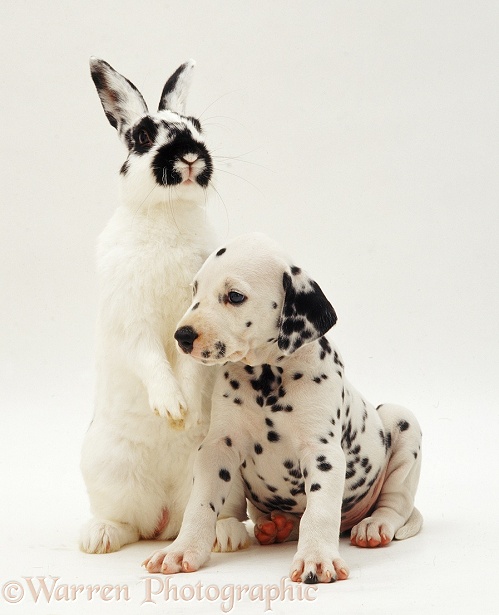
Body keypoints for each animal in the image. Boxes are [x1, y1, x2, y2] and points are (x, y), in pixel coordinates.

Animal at [80, 60, 250, 556]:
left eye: (197, 126)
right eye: (142, 136)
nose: (191, 154)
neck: (168, 216)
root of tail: (165, 519)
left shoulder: (198, 325)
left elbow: (189, 364)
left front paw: (187, 411)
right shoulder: (129, 321)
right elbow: (149, 358)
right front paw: (172, 409)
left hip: (228, 476)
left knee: (207, 515)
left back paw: (226, 535)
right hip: (105, 470)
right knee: (129, 523)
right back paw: (98, 537)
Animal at [144, 231, 422, 584]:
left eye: (234, 296)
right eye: (194, 291)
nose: (182, 336)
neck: (267, 378)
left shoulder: (322, 452)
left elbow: (320, 512)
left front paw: (316, 557)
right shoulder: (217, 447)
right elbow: (201, 504)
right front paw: (182, 550)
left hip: (402, 421)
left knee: (396, 503)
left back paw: (374, 525)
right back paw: (271, 526)